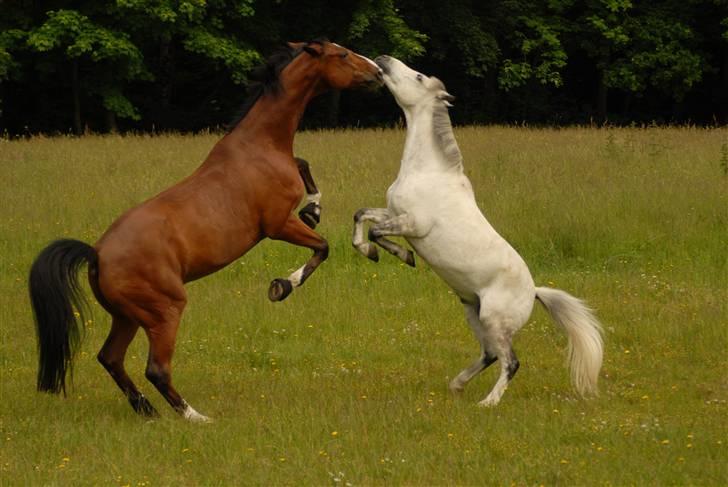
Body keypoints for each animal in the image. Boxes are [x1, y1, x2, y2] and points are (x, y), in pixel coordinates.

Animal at [28, 40, 384, 422]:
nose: (378, 72)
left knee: (110, 358)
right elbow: (322, 246)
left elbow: (304, 166)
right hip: (164, 310)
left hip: (126, 316)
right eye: (342, 54)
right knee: (156, 369)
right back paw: (195, 417)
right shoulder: (277, 224)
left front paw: (313, 211)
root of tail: (96, 255)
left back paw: (147, 411)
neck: (259, 145)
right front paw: (282, 286)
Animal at [354, 56, 604, 408]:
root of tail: (534, 292)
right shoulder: (393, 213)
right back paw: (457, 385)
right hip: (473, 311)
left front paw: (403, 256)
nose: (383, 60)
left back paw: (488, 402)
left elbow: (377, 231)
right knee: (490, 354)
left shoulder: (411, 223)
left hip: (494, 320)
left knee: (511, 362)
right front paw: (370, 251)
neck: (427, 170)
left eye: (418, 77)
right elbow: (361, 216)